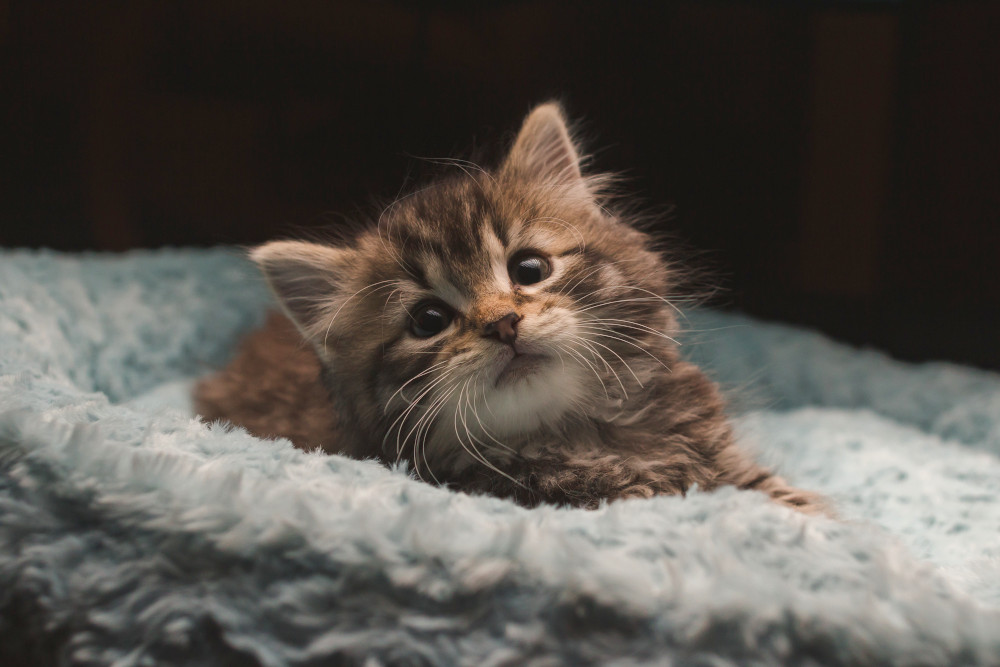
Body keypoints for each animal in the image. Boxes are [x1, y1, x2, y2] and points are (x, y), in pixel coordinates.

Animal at [195, 100, 828, 516]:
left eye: (529, 269)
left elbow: (783, 499)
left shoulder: (726, 466)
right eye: (428, 321)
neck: (578, 432)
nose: (503, 323)